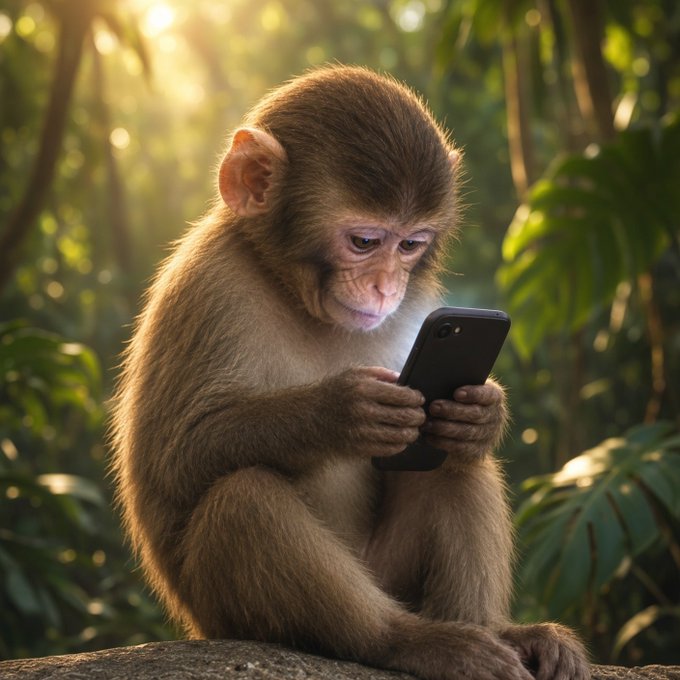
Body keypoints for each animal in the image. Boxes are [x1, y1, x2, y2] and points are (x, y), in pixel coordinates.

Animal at [110, 66, 590, 680]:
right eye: (364, 242)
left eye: (410, 245)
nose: (386, 288)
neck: (288, 289)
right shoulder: (205, 287)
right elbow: (173, 460)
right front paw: (341, 411)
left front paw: (484, 412)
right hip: (224, 614)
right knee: (243, 498)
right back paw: (405, 640)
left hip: (390, 572)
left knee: (453, 462)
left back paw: (497, 630)